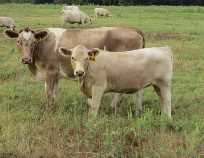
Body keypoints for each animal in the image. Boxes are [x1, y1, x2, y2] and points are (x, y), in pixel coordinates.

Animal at [4, 26, 145, 111]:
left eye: (33, 42)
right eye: (18, 41)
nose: (26, 59)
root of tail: (132, 29)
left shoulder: (50, 72)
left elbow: (49, 93)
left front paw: (49, 110)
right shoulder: (55, 75)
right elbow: (54, 93)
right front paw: (55, 106)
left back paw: (122, 107)